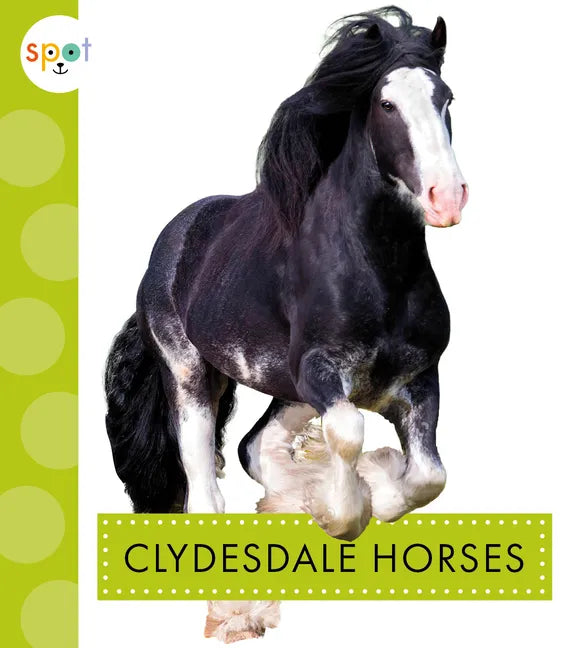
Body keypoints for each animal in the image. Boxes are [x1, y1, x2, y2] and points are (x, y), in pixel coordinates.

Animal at [105, 6, 467, 550]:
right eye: (386, 104)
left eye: (446, 98)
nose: (446, 198)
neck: (379, 276)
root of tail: (171, 240)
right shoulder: (319, 370)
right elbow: (349, 431)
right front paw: (342, 511)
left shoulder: (420, 378)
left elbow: (429, 476)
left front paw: (367, 491)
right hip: (189, 374)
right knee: (203, 483)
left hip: (285, 388)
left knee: (254, 445)